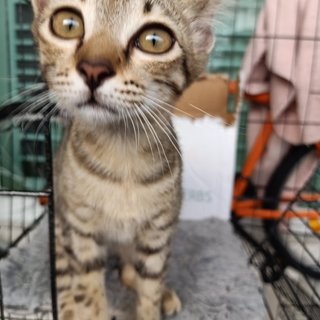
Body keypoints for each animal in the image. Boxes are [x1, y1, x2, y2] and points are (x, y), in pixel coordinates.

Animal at [30, 0, 219, 320]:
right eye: (68, 24)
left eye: (154, 40)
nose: (93, 68)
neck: (122, 159)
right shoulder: (80, 230)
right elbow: (87, 290)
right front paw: (88, 309)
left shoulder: (159, 232)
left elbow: (150, 286)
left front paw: (153, 302)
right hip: (60, 227)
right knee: (64, 275)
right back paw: (67, 306)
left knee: (131, 270)